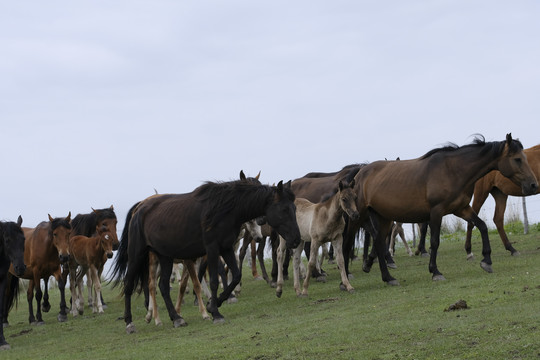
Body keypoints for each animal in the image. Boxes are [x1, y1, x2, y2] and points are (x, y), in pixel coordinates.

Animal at [354, 133, 536, 284]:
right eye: (518, 159)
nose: (533, 185)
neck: (453, 170)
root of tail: (360, 173)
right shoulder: (436, 212)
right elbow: (435, 241)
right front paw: (435, 271)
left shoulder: (461, 209)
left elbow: (482, 225)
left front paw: (486, 261)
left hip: (383, 217)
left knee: (378, 241)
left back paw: (386, 276)